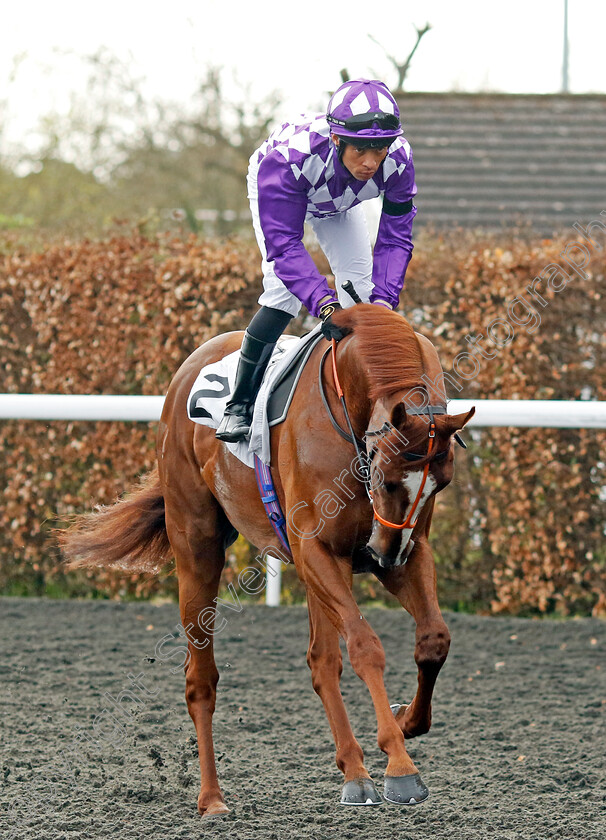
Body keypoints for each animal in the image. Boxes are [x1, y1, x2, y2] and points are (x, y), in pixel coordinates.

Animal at [64, 306, 478, 816]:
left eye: (441, 483)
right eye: (384, 475)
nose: (387, 554)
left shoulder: (403, 549)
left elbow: (434, 640)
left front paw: (403, 722)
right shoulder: (319, 549)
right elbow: (365, 647)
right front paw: (401, 767)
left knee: (322, 662)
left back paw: (355, 773)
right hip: (197, 547)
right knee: (201, 679)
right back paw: (212, 798)